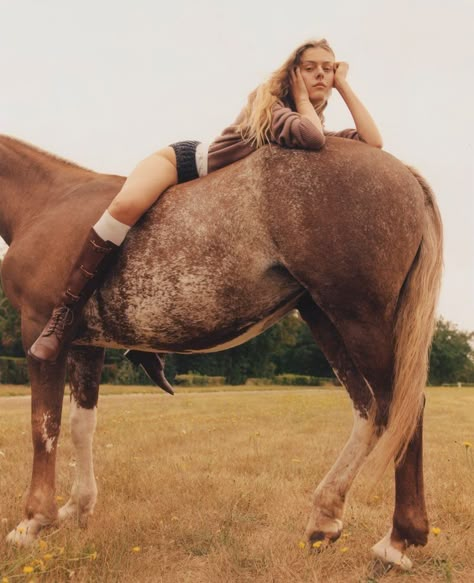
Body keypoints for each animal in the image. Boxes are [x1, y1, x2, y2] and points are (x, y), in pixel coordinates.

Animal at [0, 133, 444, 572]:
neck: (47, 200)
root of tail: (402, 172)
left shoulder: (41, 332)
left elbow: (44, 426)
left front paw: (33, 521)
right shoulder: (85, 346)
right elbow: (81, 426)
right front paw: (76, 508)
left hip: (359, 319)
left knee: (403, 409)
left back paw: (396, 541)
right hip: (325, 319)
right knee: (372, 410)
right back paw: (326, 518)